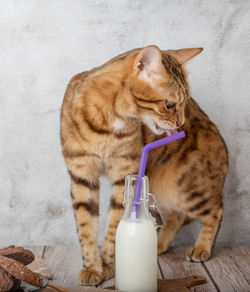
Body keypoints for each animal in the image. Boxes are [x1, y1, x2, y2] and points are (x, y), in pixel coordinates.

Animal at [59, 45, 228, 286]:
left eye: (186, 103)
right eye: (169, 104)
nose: (180, 123)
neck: (109, 121)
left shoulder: (125, 172)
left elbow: (113, 225)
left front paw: (108, 265)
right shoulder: (81, 173)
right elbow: (85, 226)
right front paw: (92, 268)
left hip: (186, 187)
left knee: (215, 209)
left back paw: (201, 248)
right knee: (177, 215)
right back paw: (159, 245)